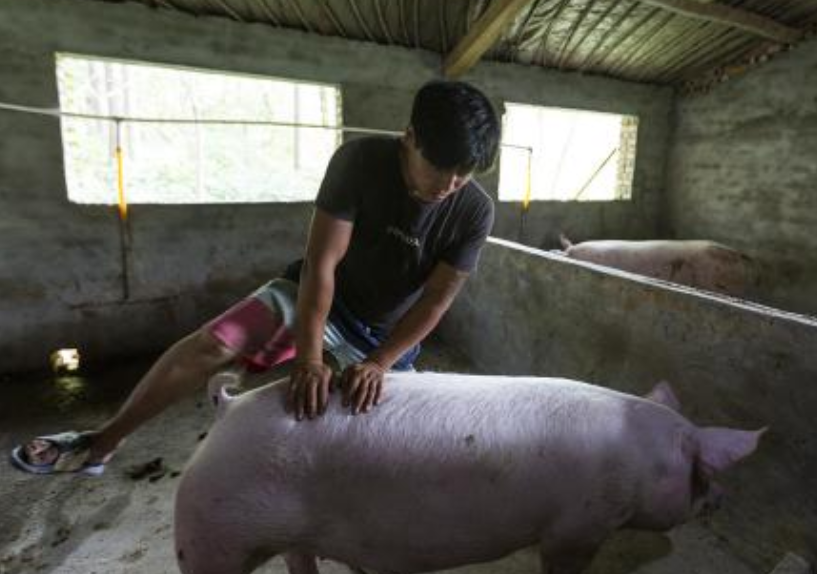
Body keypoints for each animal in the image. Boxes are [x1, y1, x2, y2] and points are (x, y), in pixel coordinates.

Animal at [175, 374, 760, 574]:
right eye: (702, 471)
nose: (724, 499)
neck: (641, 457)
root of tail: (227, 407)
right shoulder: (578, 526)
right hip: (209, 535)